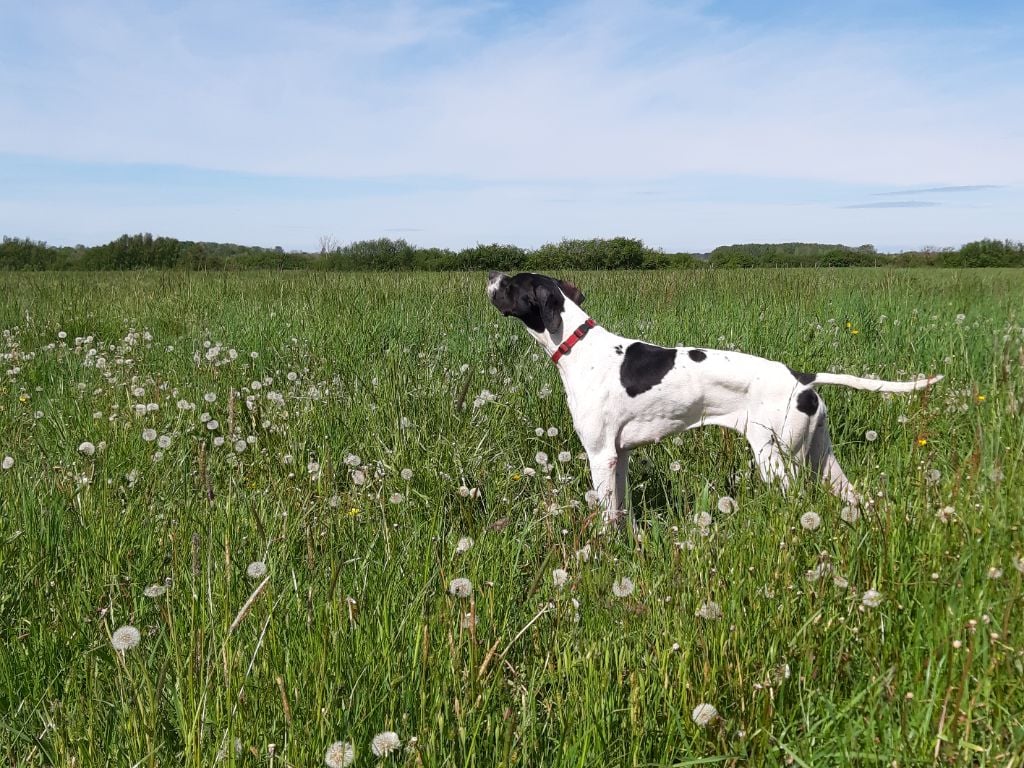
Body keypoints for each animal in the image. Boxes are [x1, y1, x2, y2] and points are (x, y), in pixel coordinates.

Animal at [487, 268, 942, 524]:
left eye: (511, 283)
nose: (490, 274)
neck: (578, 347)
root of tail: (803, 378)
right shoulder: (620, 455)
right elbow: (620, 512)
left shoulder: (600, 454)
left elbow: (604, 514)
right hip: (822, 458)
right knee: (853, 496)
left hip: (776, 459)